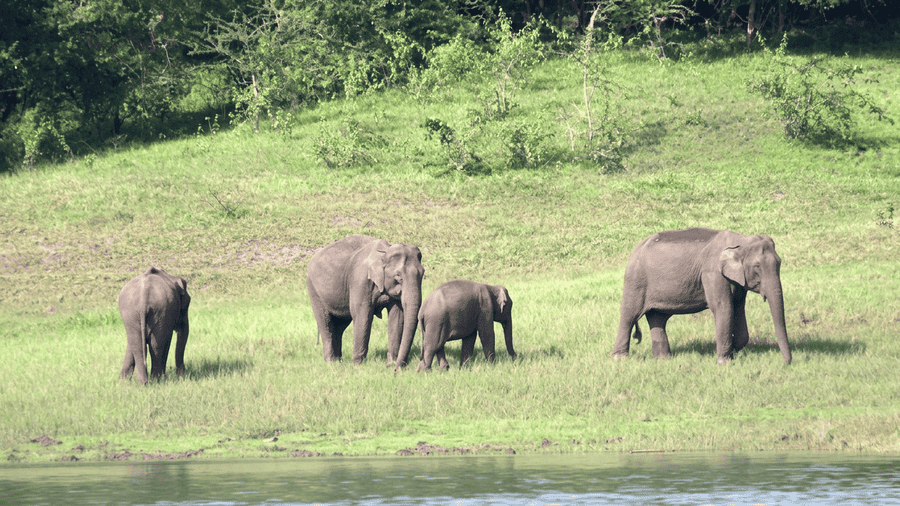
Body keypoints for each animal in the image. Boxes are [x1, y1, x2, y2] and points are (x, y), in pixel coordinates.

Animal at [306, 235, 424, 368]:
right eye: (398, 276)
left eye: (423, 273)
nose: (395, 367)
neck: (385, 251)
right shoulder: (360, 281)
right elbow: (363, 314)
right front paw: (358, 366)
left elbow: (397, 316)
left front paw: (392, 362)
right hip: (313, 290)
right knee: (326, 323)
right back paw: (331, 363)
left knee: (339, 326)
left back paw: (339, 361)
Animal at [612, 228, 791, 364]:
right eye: (757, 266)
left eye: (779, 262)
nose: (786, 363)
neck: (741, 239)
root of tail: (635, 248)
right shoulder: (712, 273)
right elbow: (724, 307)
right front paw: (724, 362)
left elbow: (738, 308)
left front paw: (733, 351)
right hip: (636, 280)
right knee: (629, 315)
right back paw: (620, 358)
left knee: (658, 318)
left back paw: (663, 358)